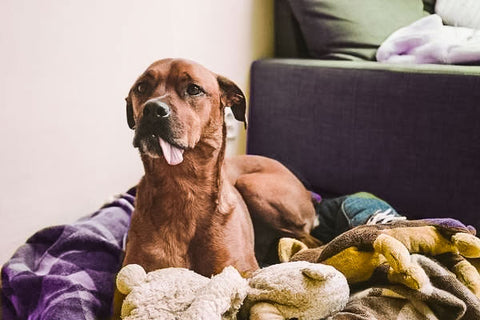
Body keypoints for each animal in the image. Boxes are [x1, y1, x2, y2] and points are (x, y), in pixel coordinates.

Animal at [113, 57, 318, 316]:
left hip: (253, 187)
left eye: (193, 89)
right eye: (141, 87)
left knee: (311, 240)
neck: (182, 187)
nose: (152, 109)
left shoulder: (241, 271)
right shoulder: (125, 286)